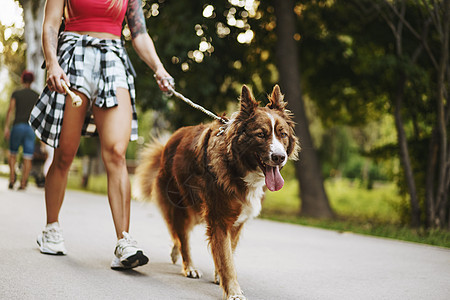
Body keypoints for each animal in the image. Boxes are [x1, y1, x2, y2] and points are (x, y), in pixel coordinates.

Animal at [135, 85, 300, 298]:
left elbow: (227, 252)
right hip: (183, 205)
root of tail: (169, 141)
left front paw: (220, 276)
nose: (279, 157)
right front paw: (233, 292)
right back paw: (189, 266)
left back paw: (175, 251)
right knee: (182, 235)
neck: (237, 166)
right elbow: (226, 259)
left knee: (179, 233)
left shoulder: (236, 222)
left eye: (283, 134)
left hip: (197, 210)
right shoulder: (220, 219)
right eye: (261, 135)